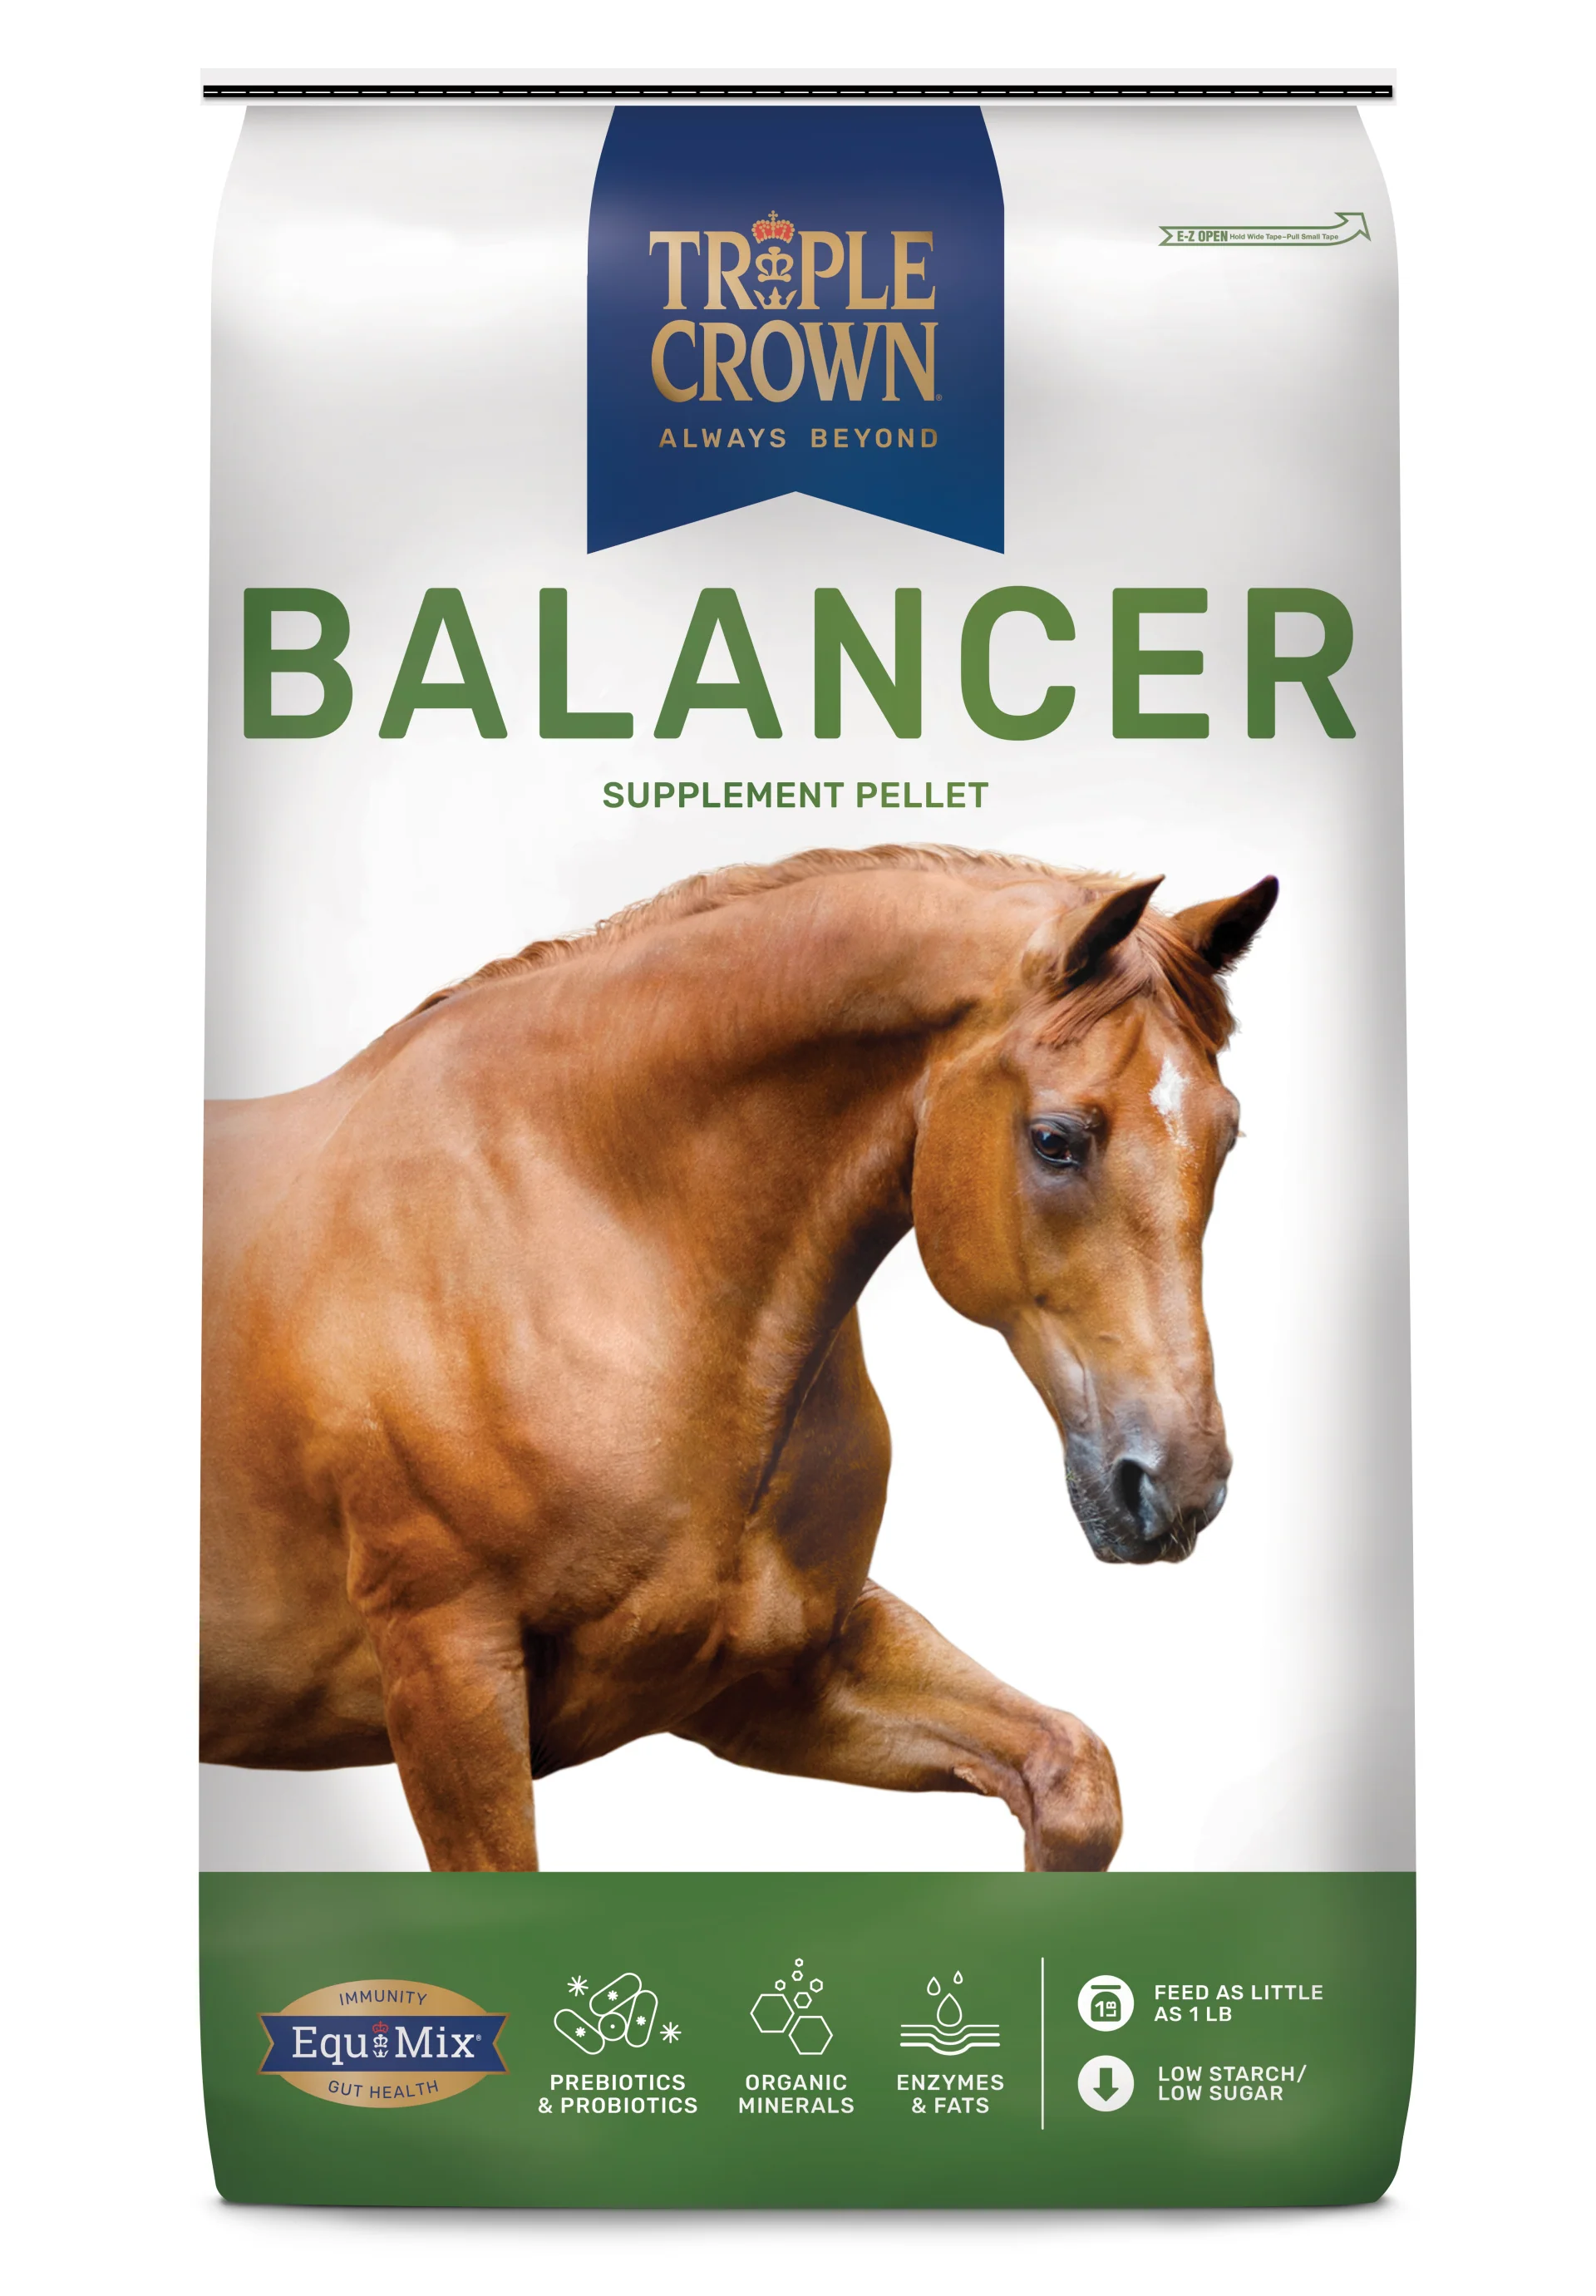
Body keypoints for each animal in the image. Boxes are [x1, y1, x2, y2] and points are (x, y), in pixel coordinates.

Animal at [201, 844, 1276, 1872]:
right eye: (1056, 1140)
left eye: (1226, 1138)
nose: (1180, 1486)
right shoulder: (448, 1675)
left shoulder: (772, 1672)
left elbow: (1075, 1778)